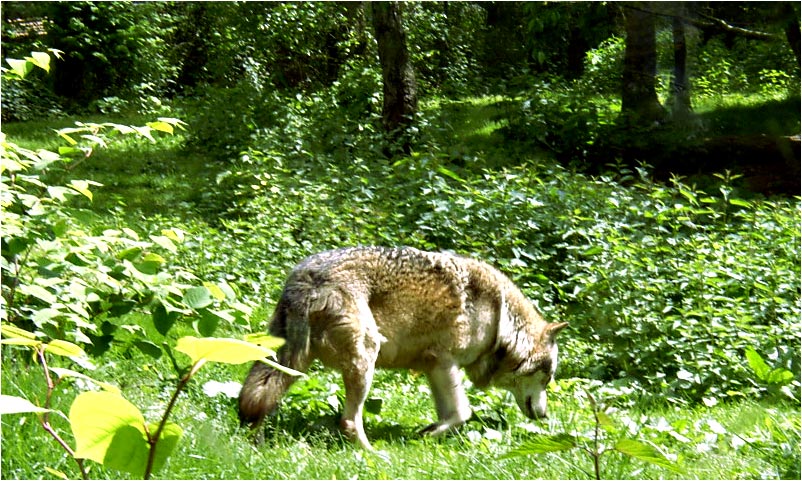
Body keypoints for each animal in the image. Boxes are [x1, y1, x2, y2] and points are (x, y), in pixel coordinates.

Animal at [239, 246, 568, 448]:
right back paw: (374, 455)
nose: (544, 416)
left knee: (255, 397)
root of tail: (308, 277)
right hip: (365, 357)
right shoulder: (445, 361)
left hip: (285, 362)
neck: (501, 321)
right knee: (349, 420)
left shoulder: (434, 367)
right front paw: (430, 435)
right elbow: (464, 412)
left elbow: (451, 413)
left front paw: (429, 432)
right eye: (548, 378)